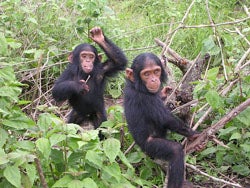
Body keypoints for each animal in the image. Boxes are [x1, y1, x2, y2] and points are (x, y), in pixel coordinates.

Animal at [124, 52, 199, 188]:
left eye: (156, 71)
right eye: (146, 74)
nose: (153, 79)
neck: (137, 86)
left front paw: (165, 91)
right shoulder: (146, 99)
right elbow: (165, 119)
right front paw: (193, 134)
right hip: (150, 146)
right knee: (175, 151)